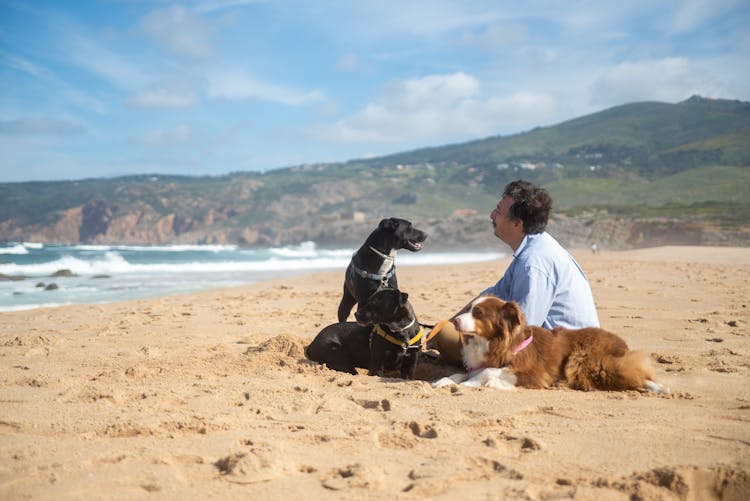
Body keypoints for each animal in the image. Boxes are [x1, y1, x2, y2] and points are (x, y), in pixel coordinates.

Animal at [434, 294, 668, 392]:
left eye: (479, 313)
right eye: (469, 309)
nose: (454, 321)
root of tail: (623, 347)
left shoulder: (536, 373)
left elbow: (487, 373)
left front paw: (474, 383)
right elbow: (461, 374)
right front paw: (445, 381)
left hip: (583, 358)